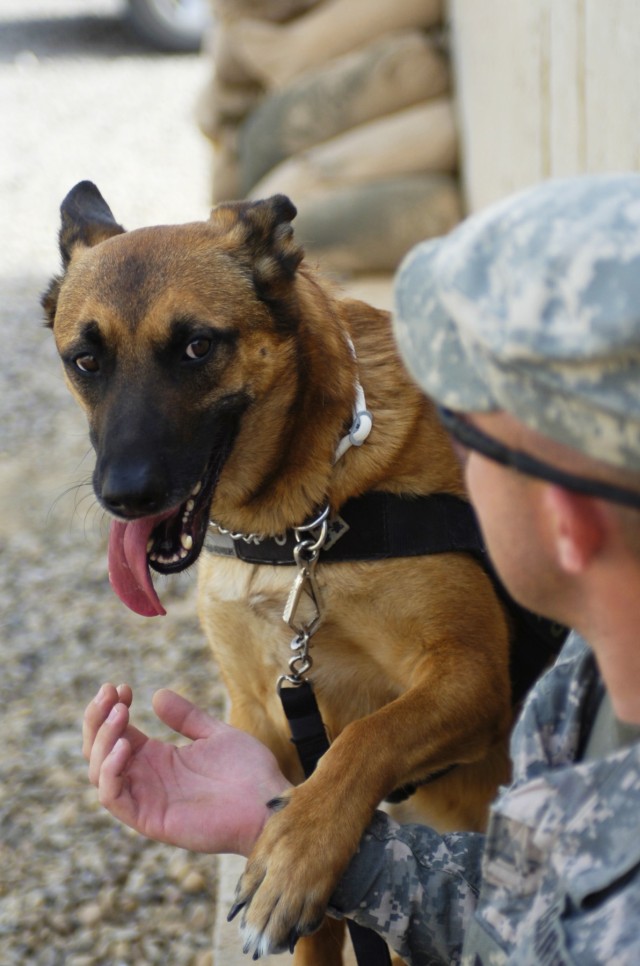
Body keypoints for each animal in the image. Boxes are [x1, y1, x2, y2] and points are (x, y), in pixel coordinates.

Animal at [43, 183, 516, 966]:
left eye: (197, 346)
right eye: (86, 360)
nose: (124, 495)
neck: (296, 520)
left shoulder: (472, 674)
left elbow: (369, 736)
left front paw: (297, 855)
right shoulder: (268, 716)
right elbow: (318, 927)